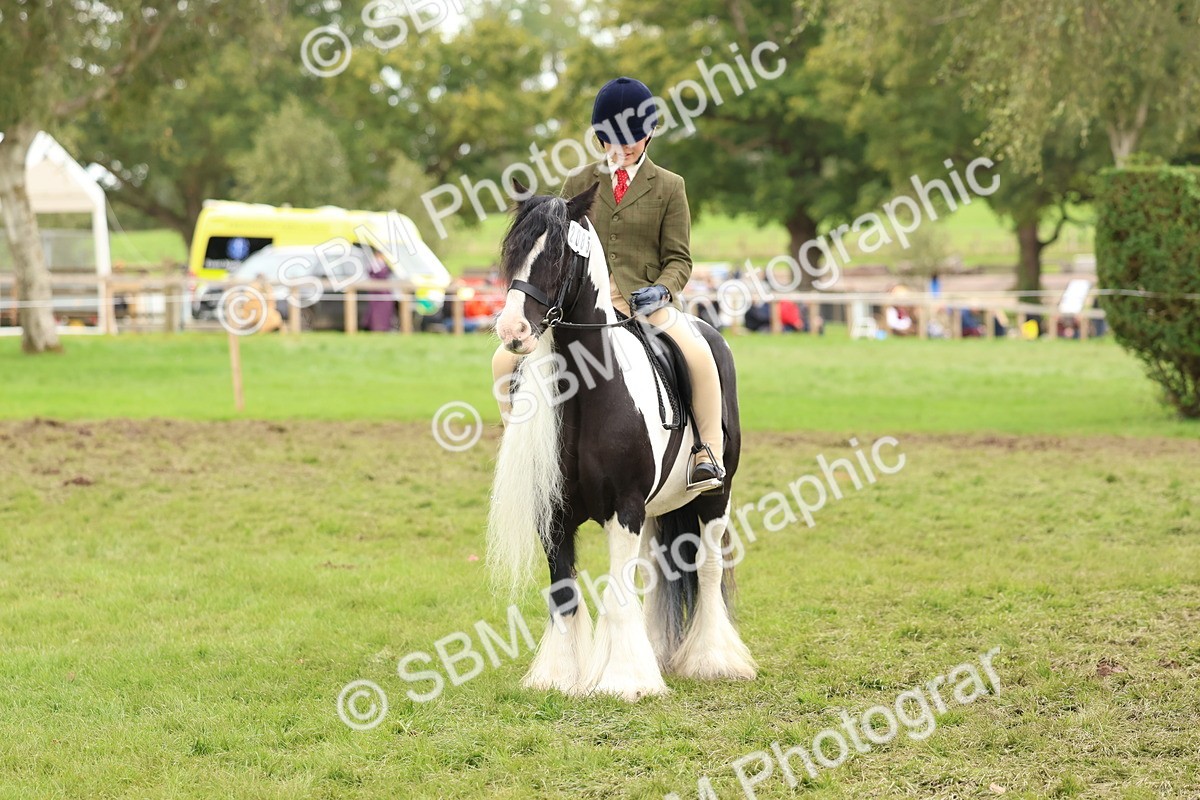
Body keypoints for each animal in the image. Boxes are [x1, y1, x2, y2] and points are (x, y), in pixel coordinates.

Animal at [486, 180, 756, 701]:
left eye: (556, 255)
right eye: (512, 252)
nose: (512, 331)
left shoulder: (625, 509)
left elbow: (617, 593)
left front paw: (625, 680)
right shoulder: (554, 514)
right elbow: (564, 592)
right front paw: (561, 676)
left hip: (716, 494)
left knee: (709, 566)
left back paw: (713, 660)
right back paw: (659, 652)